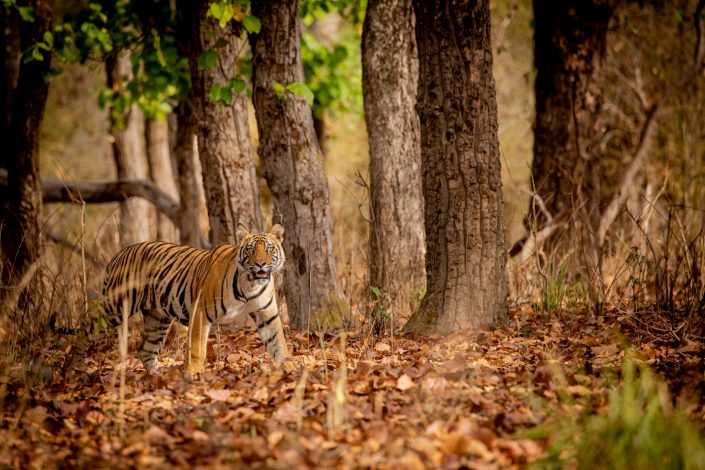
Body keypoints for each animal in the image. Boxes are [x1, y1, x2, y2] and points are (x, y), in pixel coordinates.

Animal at [97, 223, 288, 374]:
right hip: (115, 308)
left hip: (157, 319)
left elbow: (278, 342)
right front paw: (193, 374)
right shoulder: (201, 313)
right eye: (250, 249)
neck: (250, 284)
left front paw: (289, 367)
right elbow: (197, 348)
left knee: (146, 349)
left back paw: (158, 377)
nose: (260, 264)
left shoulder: (267, 314)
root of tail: (117, 254)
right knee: (91, 323)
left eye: (269, 249)